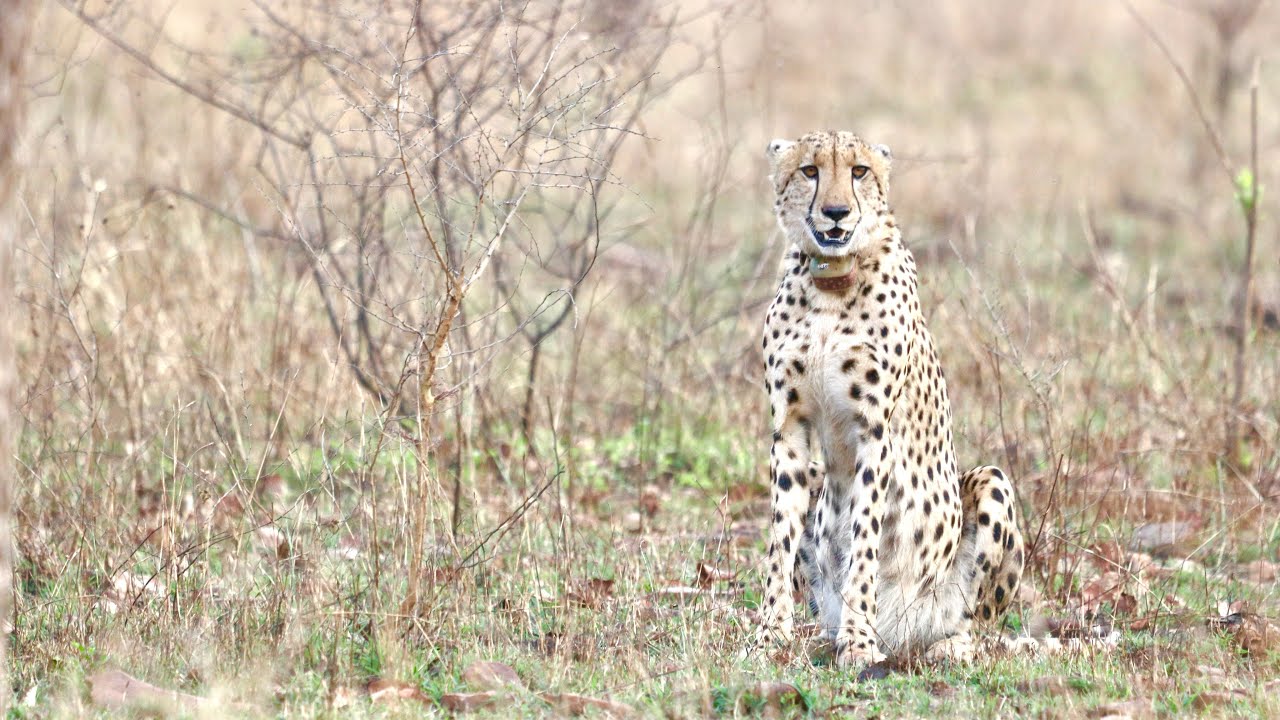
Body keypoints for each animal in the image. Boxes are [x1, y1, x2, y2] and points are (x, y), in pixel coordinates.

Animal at [757, 130, 1024, 670]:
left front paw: (859, 642)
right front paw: (769, 636)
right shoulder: (789, 430)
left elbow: (864, 541)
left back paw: (942, 646)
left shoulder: (874, 431)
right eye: (810, 171)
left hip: (992, 483)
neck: (830, 284)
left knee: (971, 621)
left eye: (858, 170)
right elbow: (779, 540)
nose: (836, 212)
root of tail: (903, 634)